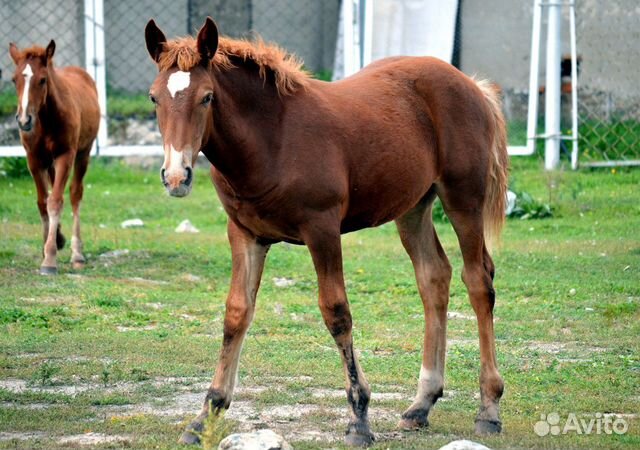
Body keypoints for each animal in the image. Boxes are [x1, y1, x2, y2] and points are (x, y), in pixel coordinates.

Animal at [9, 41, 100, 274]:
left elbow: (56, 201)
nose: (24, 120)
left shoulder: (65, 156)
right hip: (49, 162)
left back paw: (77, 253)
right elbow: (43, 201)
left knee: (75, 193)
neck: (47, 119)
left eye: (42, 80)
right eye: (14, 79)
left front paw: (49, 259)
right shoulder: (33, 159)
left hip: (83, 153)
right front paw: (50, 244)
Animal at [145, 17, 510, 446]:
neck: (273, 137)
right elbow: (236, 314)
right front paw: (205, 416)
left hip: (463, 198)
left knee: (478, 280)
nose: (176, 177)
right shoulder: (245, 234)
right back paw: (421, 404)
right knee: (434, 276)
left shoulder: (322, 229)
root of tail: (472, 84)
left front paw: (359, 418)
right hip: (413, 208)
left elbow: (336, 312)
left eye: (206, 97)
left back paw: (488, 409)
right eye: (154, 98)